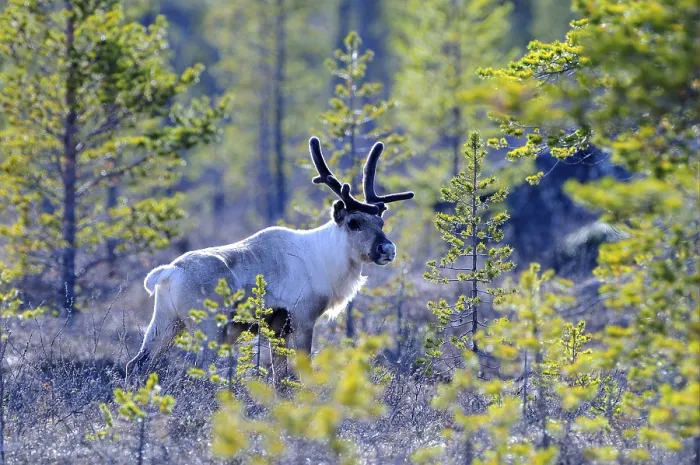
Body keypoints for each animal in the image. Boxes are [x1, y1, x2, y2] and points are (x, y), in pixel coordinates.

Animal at [125, 137, 414, 378]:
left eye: (381, 222)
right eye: (354, 223)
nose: (387, 249)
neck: (326, 261)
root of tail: (170, 271)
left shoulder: (277, 328)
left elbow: (280, 376)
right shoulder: (302, 317)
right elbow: (301, 370)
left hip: (166, 320)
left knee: (137, 363)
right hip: (208, 325)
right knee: (200, 368)